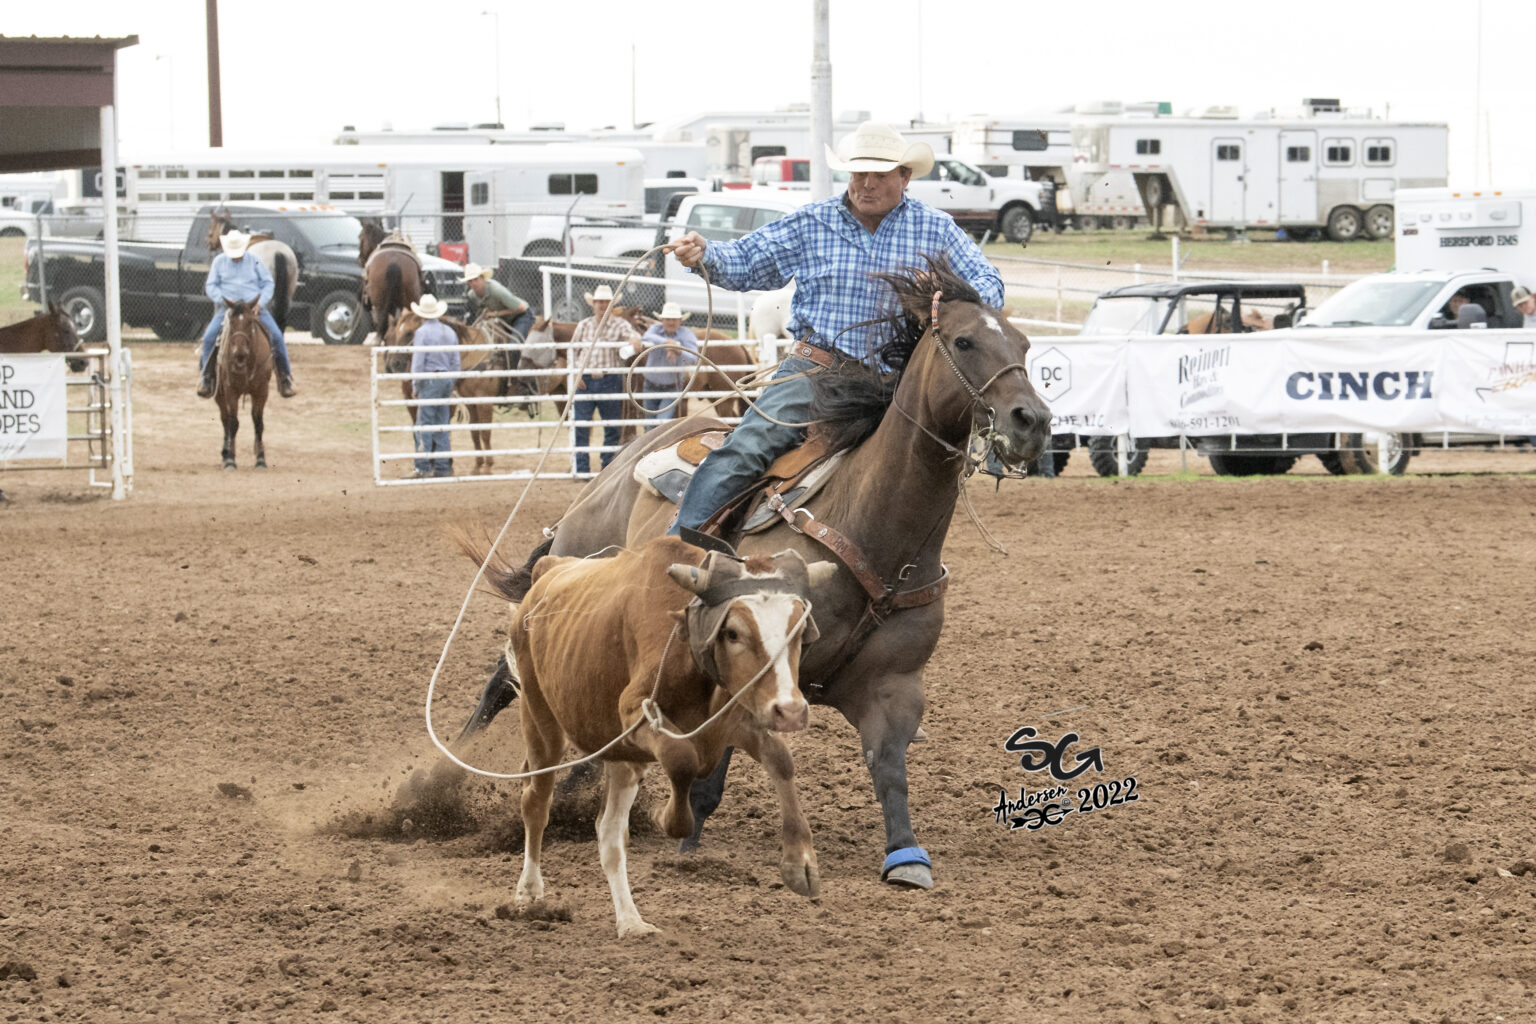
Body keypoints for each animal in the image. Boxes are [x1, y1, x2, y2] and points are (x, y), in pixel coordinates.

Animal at [213, 297, 273, 469]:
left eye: (250, 322)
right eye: (232, 322)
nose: (239, 353)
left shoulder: (262, 391)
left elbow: (258, 422)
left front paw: (261, 459)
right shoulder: (230, 390)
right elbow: (233, 423)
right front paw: (230, 460)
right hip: (219, 395)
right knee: (225, 419)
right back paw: (225, 452)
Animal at [460, 534, 835, 939]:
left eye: (799, 632)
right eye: (733, 632)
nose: (791, 711)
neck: (685, 645)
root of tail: (550, 569)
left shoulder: (739, 718)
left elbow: (781, 760)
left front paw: (801, 862)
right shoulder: (636, 716)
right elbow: (682, 761)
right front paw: (668, 818)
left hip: (619, 756)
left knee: (609, 834)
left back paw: (630, 920)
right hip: (540, 718)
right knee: (536, 802)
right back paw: (529, 892)